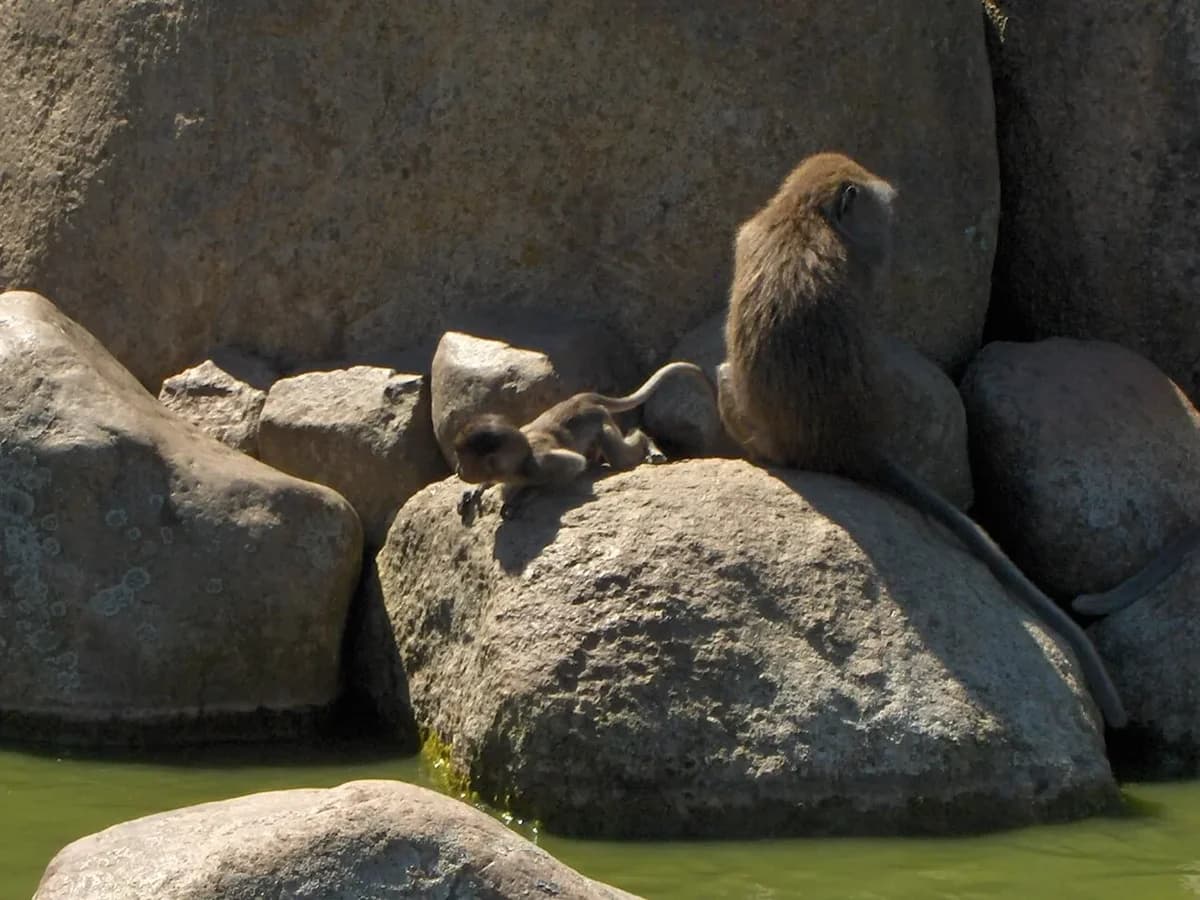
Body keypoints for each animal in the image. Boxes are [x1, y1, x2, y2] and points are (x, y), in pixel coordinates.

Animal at [453, 361, 712, 522]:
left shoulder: (539, 464)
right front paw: (477, 489)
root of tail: (581, 399)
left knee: (617, 454)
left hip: (600, 420)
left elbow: (574, 464)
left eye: (462, 460)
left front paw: (528, 493)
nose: (457, 470)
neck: (517, 464)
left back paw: (646, 442)